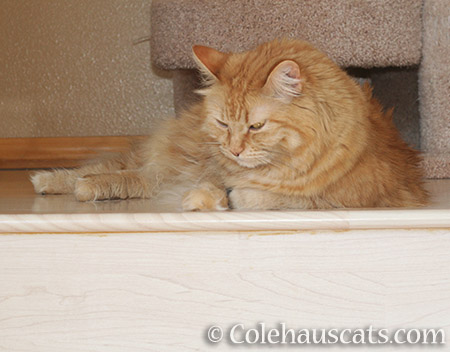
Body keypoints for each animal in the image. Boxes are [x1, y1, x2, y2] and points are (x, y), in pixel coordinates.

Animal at [30, 39, 428, 209]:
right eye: (223, 123)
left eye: (255, 127)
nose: (234, 150)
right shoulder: (205, 169)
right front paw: (206, 197)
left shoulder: (346, 197)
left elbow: (274, 197)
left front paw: (226, 197)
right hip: (169, 158)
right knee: (114, 170)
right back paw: (53, 181)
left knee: (129, 177)